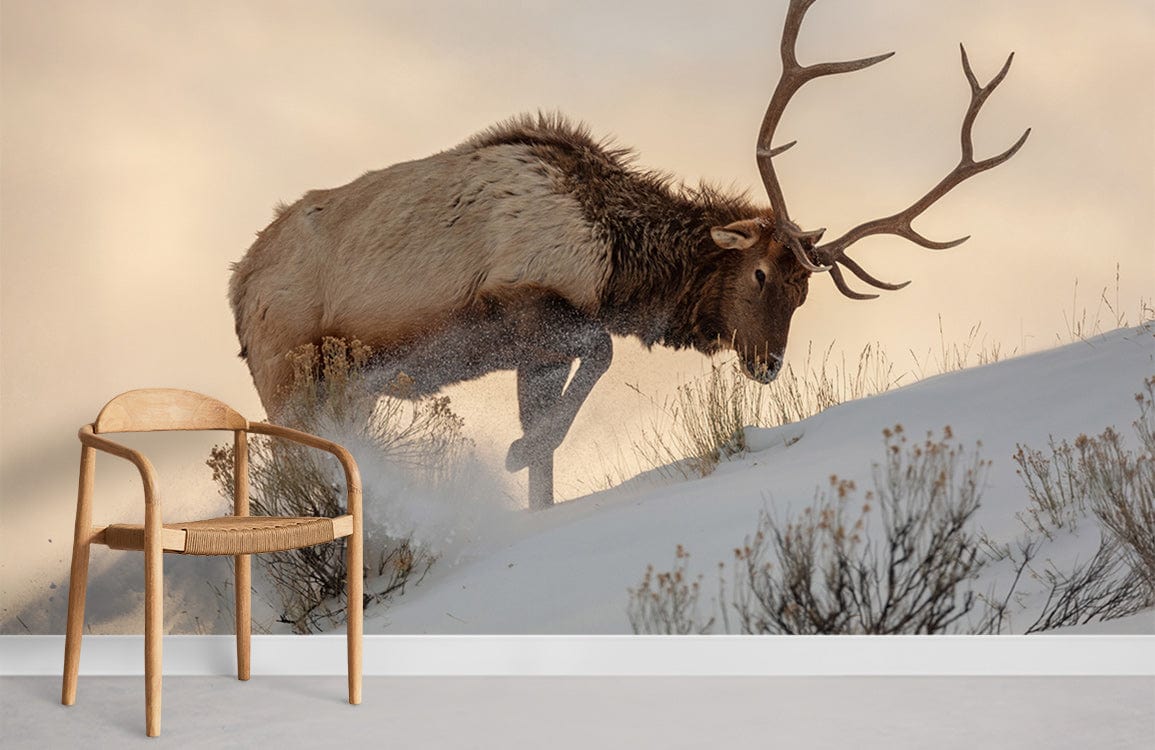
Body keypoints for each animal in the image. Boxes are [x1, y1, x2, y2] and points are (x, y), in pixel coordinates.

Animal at [230, 0, 1029, 510]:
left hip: (344, 388)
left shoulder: (532, 351)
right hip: (287, 371)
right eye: (760, 272)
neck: (618, 265)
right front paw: (514, 453)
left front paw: (530, 476)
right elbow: (599, 360)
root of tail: (237, 287)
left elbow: (550, 453)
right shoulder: (523, 304)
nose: (767, 365)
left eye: (805, 292)